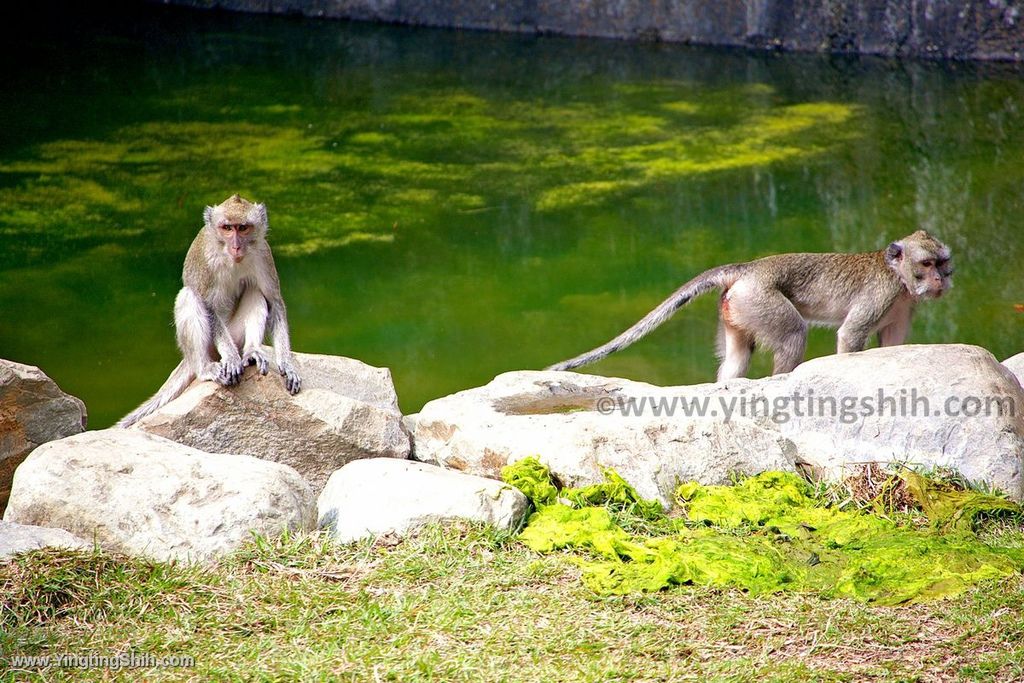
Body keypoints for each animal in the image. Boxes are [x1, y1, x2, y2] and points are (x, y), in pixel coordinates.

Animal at [117, 193, 299, 428]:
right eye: (227, 228)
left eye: (243, 228)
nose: (236, 247)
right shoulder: (206, 262)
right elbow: (207, 305)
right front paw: (231, 357)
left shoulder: (263, 254)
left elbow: (274, 301)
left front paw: (287, 364)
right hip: (211, 347)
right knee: (189, 297)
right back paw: (205, 368)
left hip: (236, 334)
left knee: (254, 290)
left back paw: (251, 352)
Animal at [548, 229, 954, 378]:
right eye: (927, 264)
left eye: (943, 262)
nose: (943, 279)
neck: (899, 278)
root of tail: (748, 268)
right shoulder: (881, 294)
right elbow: (850, 335)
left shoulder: (904, 305)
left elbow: (892, 344)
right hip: (759, 299)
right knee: (792, 334)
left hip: (737, 309)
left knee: (736, 357)